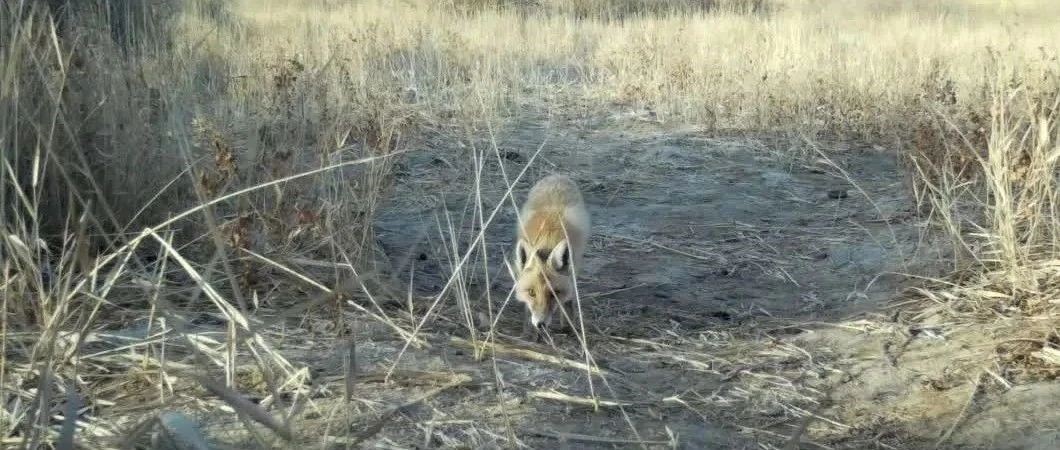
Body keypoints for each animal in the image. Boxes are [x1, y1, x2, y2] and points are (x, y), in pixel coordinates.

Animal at [513, 174, 590, 332]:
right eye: (531, 292)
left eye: (554, 293)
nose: (540, 324)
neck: (547, 241)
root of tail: (556, 176)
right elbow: (527, 308)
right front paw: (528, 329)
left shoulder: (571, 271)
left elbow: (569, 301)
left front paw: (568, 326)